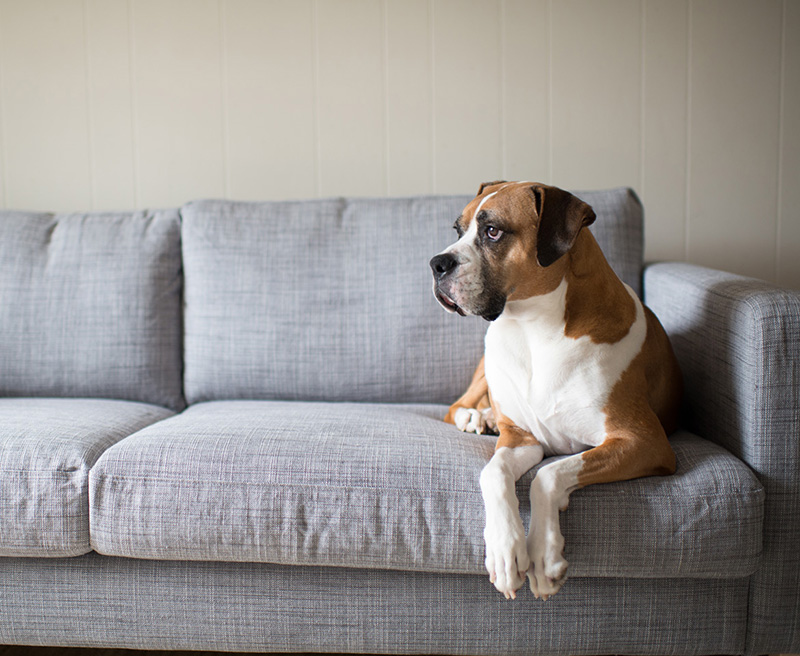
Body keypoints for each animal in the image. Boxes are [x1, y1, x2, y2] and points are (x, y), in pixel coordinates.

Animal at [432, 179, 680, 600]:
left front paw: (543, 557)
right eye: (457, 230)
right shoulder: (520, 439)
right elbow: (493, 473)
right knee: (457, 405)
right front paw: (505, 550)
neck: (534, 326)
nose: (437, 263)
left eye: (493, 231)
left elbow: (548, 475)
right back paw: (477, 417)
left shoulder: (643, 442)